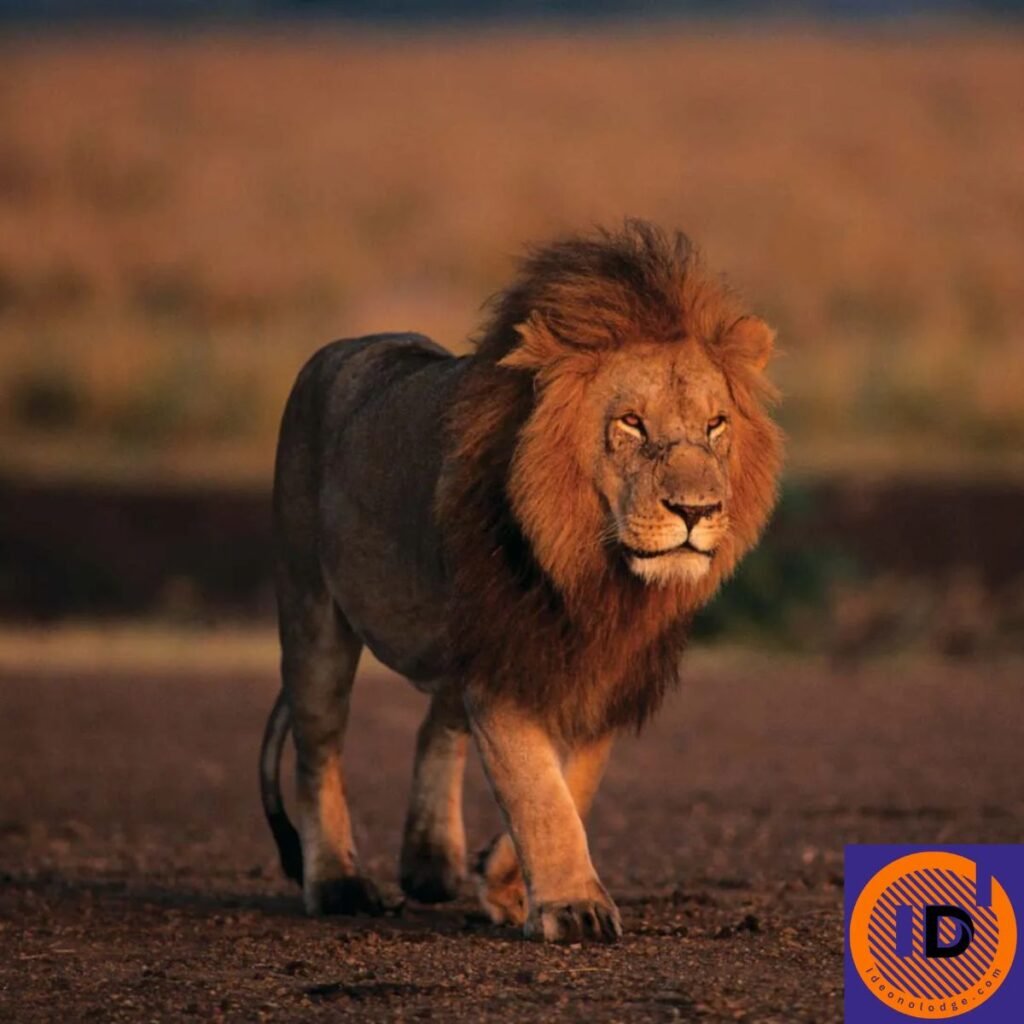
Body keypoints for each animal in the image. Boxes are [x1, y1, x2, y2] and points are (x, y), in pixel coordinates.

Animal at [259, 220, 782, 943]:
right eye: (631, 422)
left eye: (716, 425)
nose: (696, 511)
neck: (594, 572)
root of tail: (340, 349)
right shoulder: (504, 654)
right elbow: (538, 789)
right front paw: (574, 905)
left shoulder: (602, 668)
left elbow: (572, 783)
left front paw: (505, 881)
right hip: (313, 610)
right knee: (319, 749)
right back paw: (338, 882)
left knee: (436, 724)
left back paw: (431, 864)